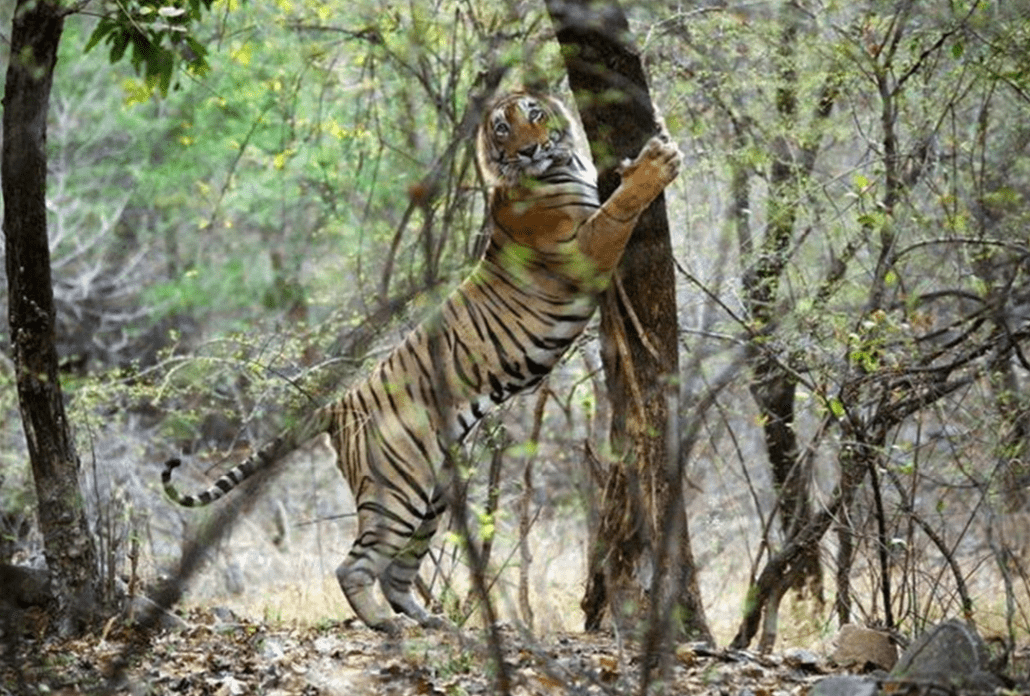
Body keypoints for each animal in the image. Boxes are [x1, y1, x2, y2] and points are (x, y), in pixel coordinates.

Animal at [162, 89, 683, 634]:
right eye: (501, 130)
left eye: (535, 115)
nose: (528, 150)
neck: (559, 165)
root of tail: (338, 405)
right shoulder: (585, 249)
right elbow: (619, 207)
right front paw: (656, 165)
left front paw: (649, 146)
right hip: (397, 492)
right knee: (354, 565)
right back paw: (383, 623)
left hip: (430, 497)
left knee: (397, 573)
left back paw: (432, 621)